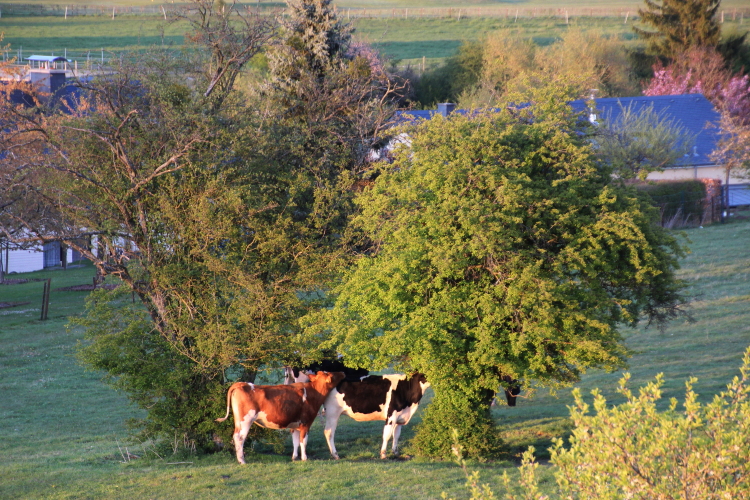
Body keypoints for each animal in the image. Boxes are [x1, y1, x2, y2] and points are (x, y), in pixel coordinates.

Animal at [216, 370, 346, 462]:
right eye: (330, 374)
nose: (342, 372)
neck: (313, 392)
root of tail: (241, 384)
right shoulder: (306, 423)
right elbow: (303, 441)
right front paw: (305, 458)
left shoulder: (295, 424)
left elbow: (295, 441)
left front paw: (294, 457)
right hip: (246, 420)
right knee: (239, 438)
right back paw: (242, 461)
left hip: (239, 421)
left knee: (235, 436)